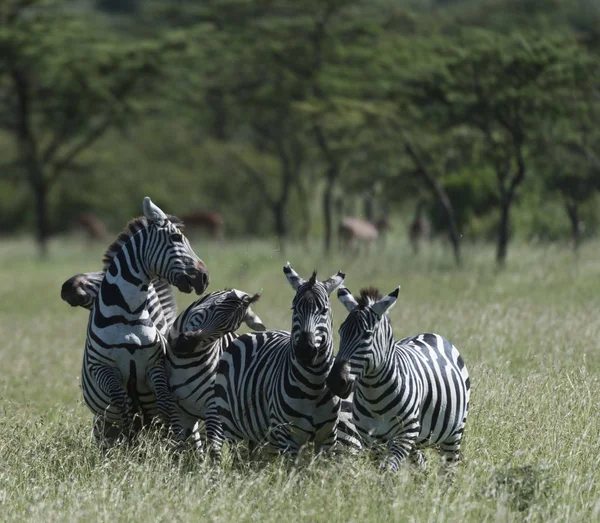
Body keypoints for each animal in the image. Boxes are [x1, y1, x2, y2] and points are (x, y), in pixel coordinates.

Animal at [81, 199, 210, 448]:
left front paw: (167, 443)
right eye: (176, 238)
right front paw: (130, 442)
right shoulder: (103, 369)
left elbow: (165, 406)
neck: (128, 314)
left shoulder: (154, 366)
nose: (204, 278)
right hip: (100, 424)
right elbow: (123, 405)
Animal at [165, 288, 266, 448]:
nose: (185, 344)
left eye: (226, 329)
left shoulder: (215, 411)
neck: (184, 363)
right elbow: (179, 446)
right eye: (212, 307)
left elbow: (214, 449)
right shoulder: (178, 409)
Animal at [205, 266, 346, 462]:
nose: (305, 350)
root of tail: (253, 333)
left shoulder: (328, 438)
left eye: (324, 310)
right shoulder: (288, 437)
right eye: (294, 309)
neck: (315, 385)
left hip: (263, 439)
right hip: (235, 430)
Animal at [326, 286, 472, 474]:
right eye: (340, 332)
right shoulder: (372, 440)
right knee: (420, 461)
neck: (374, 398)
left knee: (449, 465)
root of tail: (430, 334)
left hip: (454, 433)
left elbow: (389, 469)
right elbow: (382, 470)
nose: (335, 381)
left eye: (367, 335)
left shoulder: (404, 435)